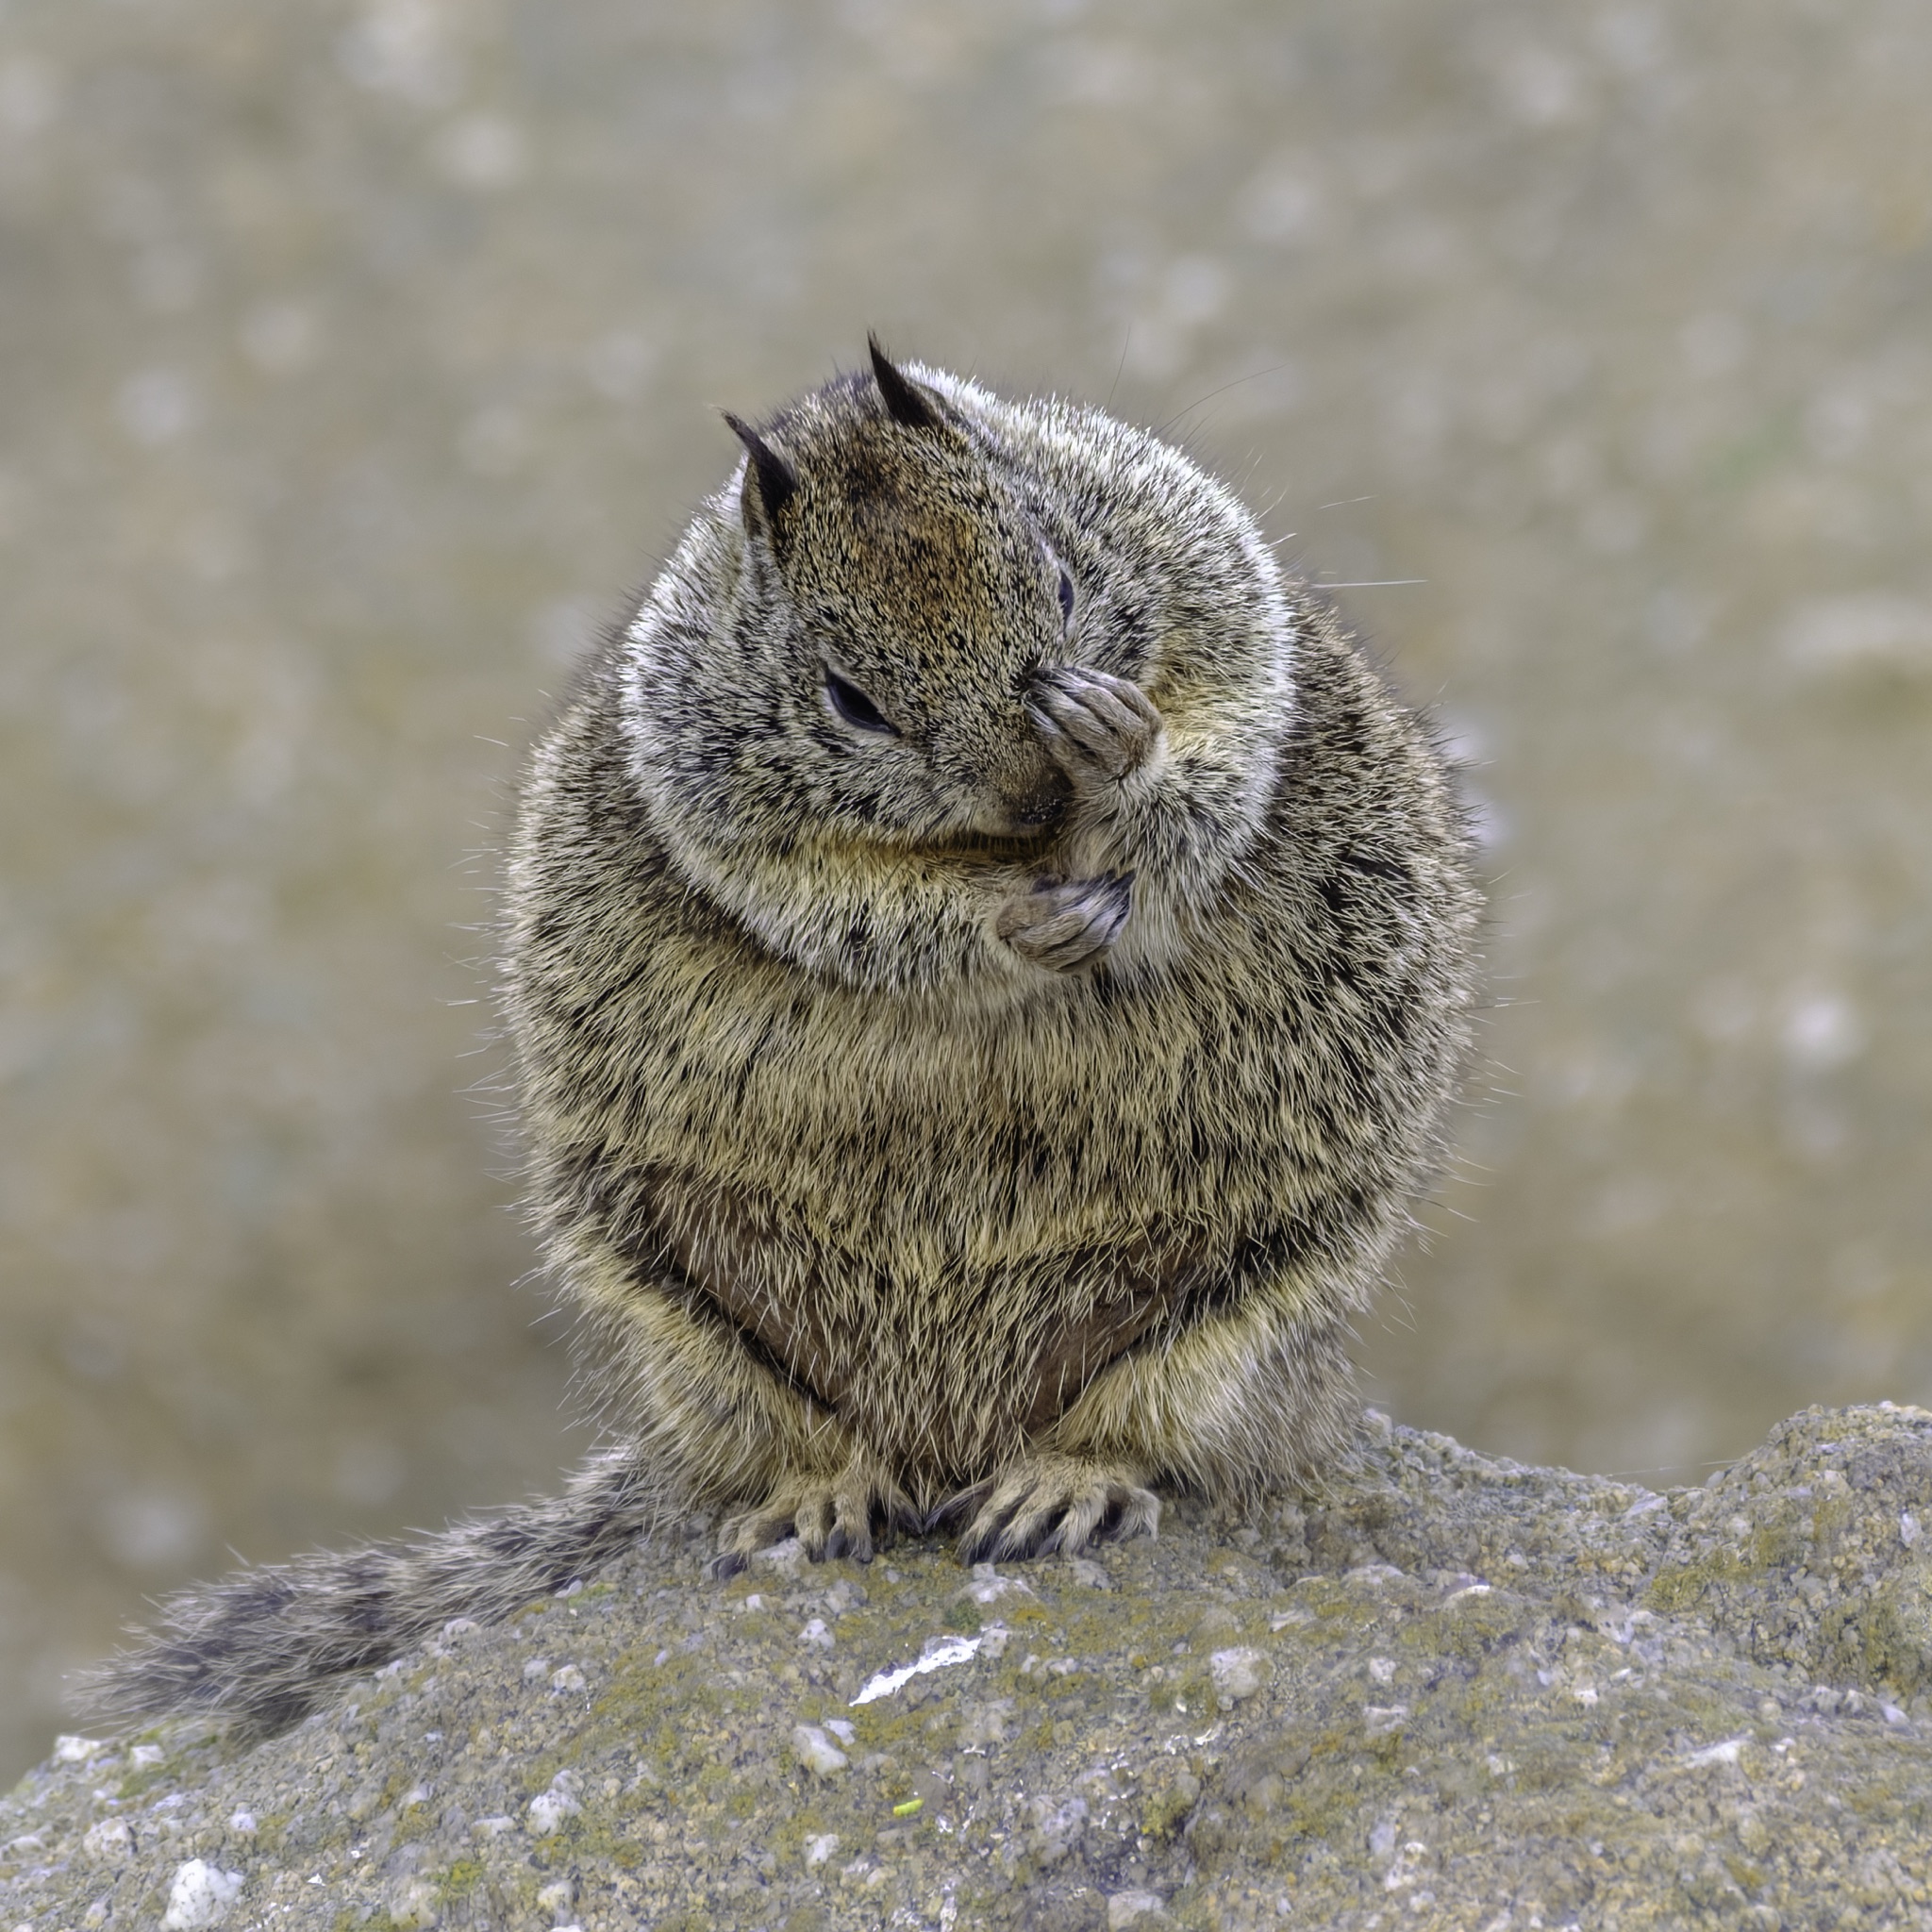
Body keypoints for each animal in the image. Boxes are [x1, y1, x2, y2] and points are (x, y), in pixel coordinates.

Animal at [83, 339, 1479, 1737]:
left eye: (1068, 581)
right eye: (851, 702)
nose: (1037, 789)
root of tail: (947, 1448)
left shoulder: (1216, 592)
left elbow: (1217, 760)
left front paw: (1120, 750)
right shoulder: (723, 798)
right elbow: (848, 903)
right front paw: (1005, 918)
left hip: (1261, 1293)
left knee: (1155, 1434)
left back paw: (1063, 1481)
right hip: (675, 1300)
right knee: (802, 1453)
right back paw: (824, 1496)